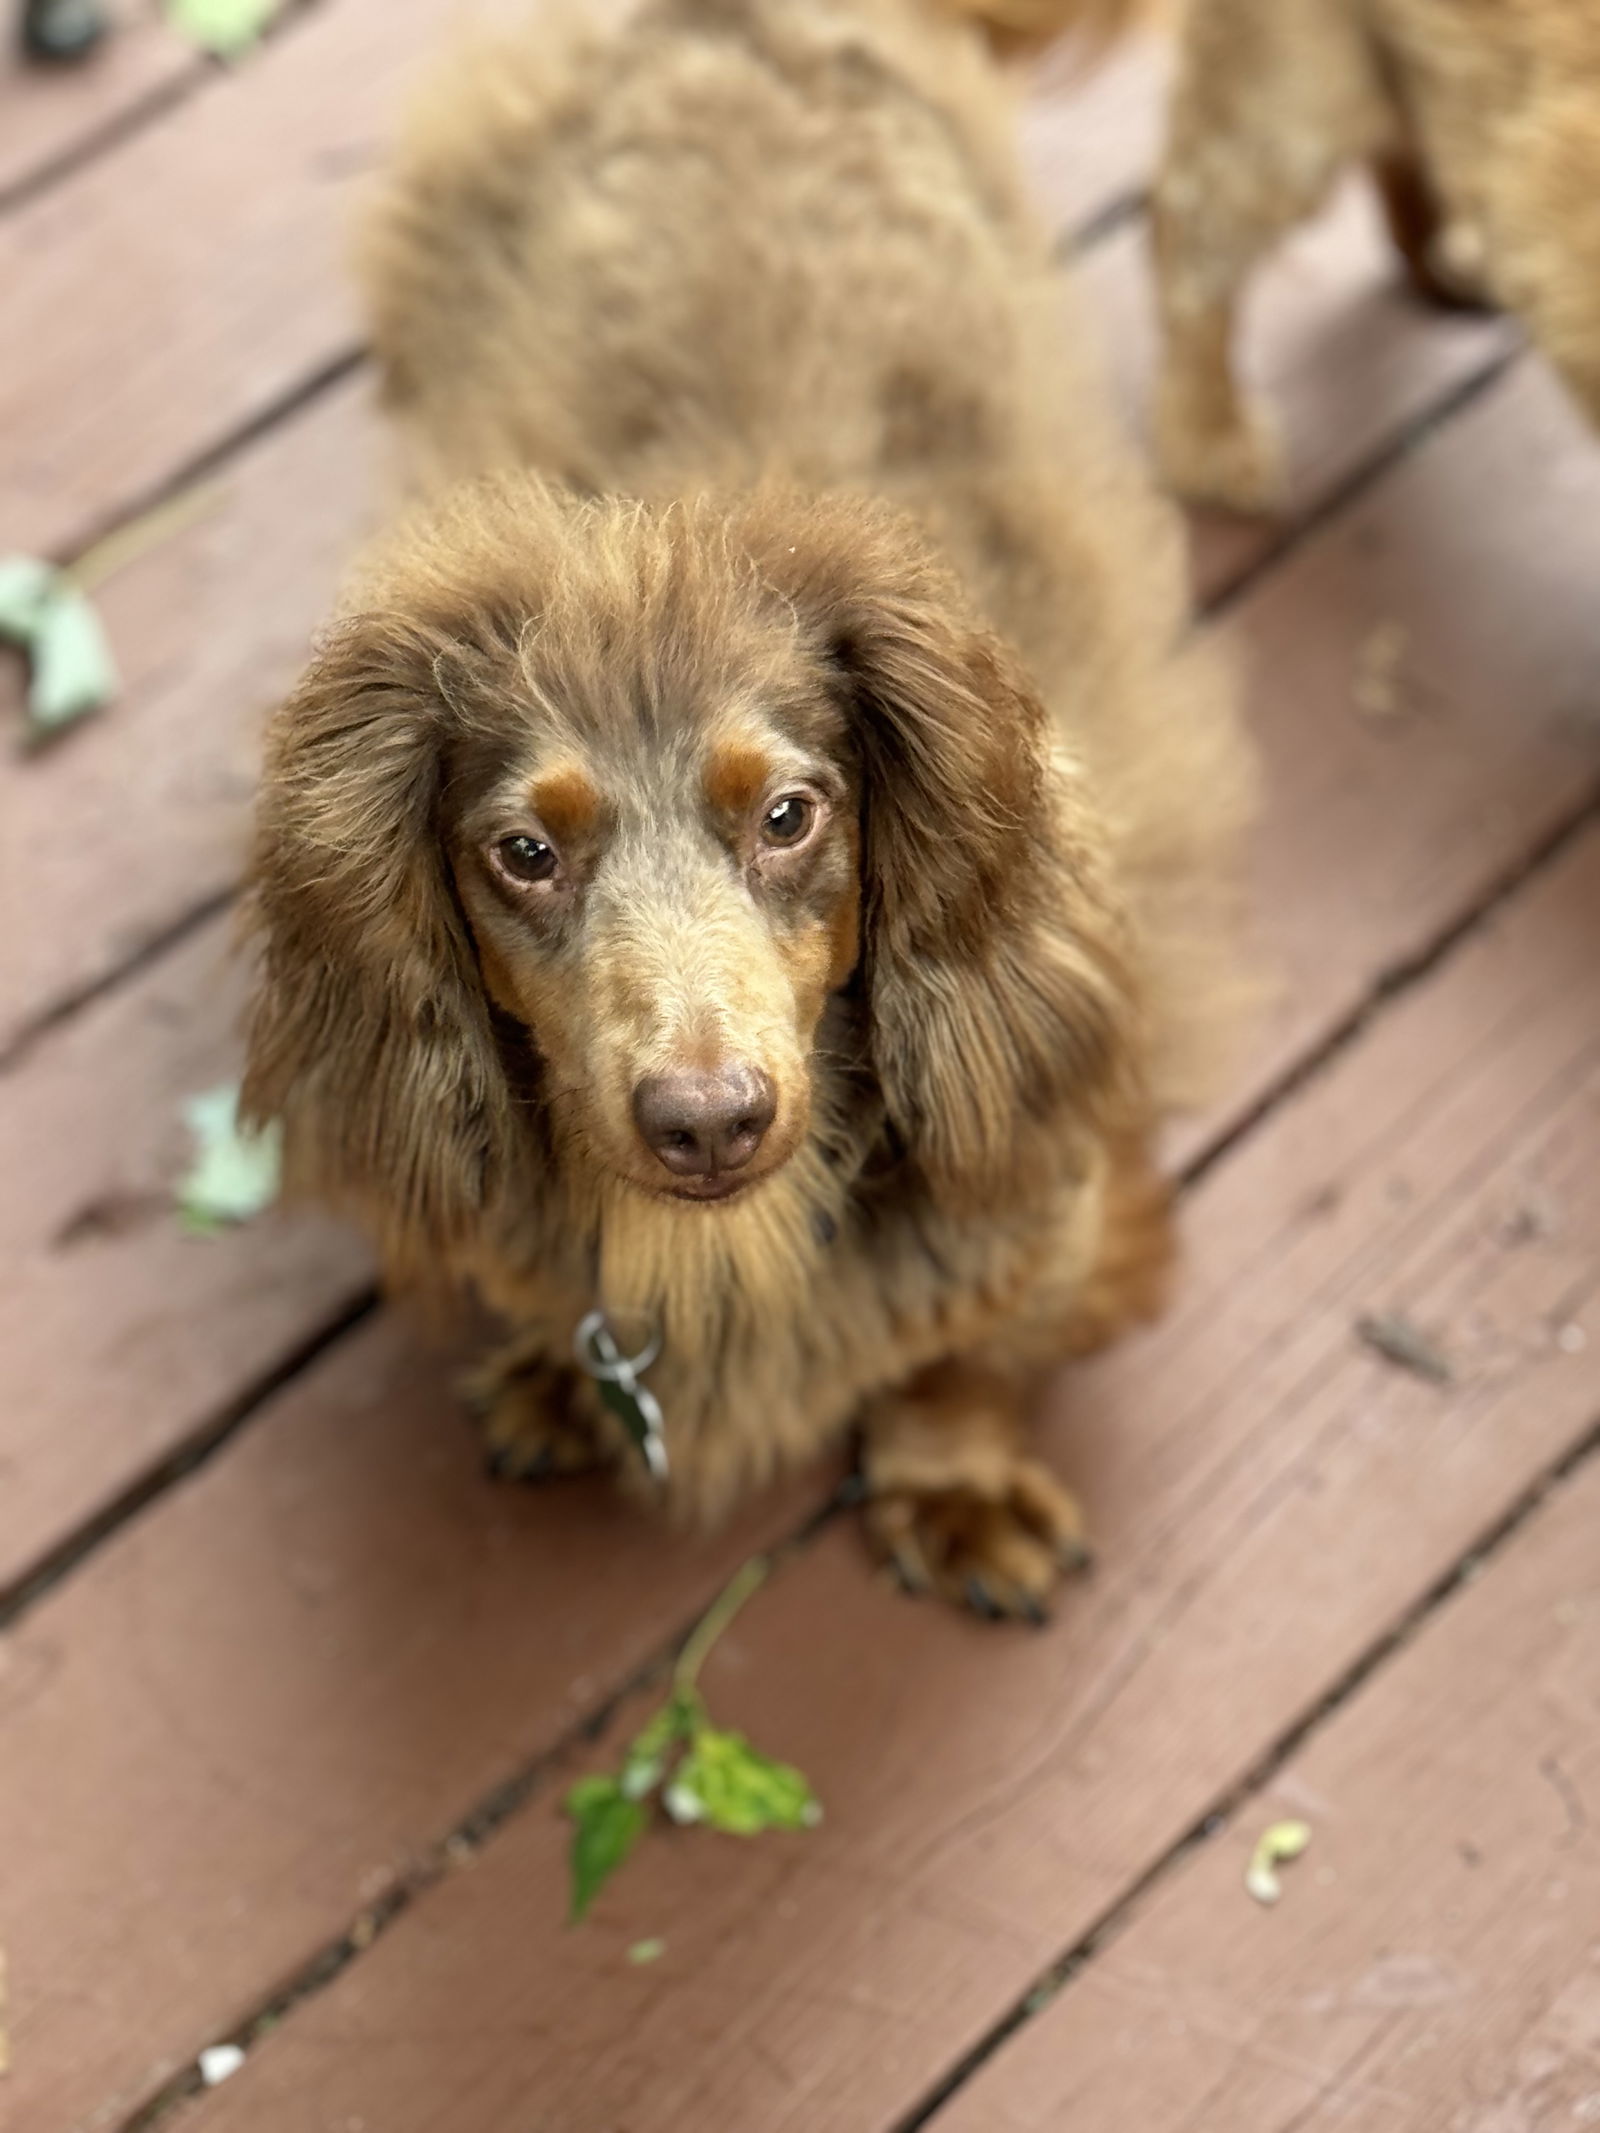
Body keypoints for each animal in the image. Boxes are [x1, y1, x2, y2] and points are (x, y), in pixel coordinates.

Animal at [241, 0, 1254, 1612]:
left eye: (788, 816)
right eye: (522, 852)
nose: (708, 1124)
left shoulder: (1051, 1149)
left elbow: (970, 1335)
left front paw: (954, 1476)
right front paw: (559, 1374)